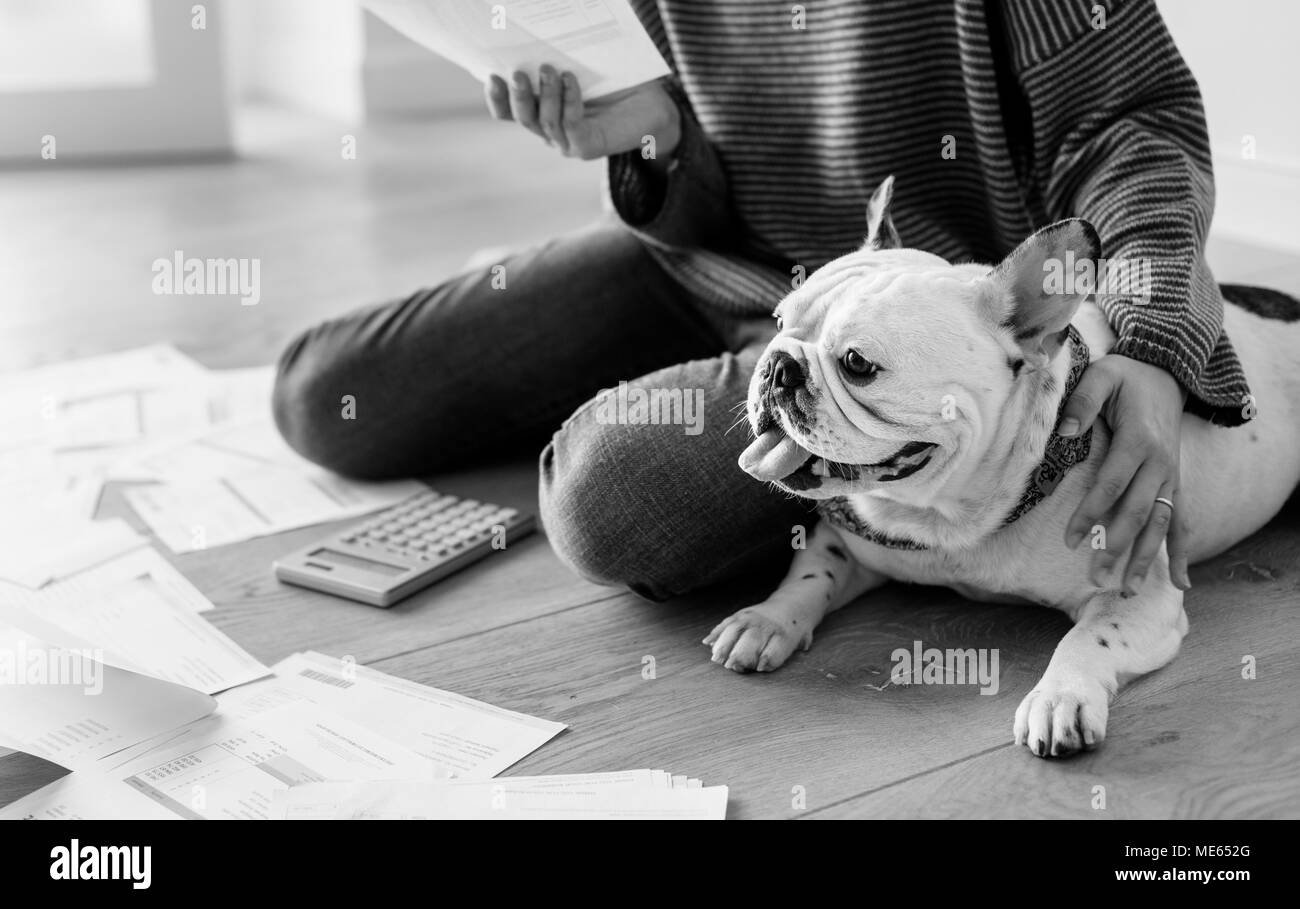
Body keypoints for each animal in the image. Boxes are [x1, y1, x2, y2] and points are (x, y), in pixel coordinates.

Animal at [712, 178, 1300, 759]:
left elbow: (1088, 638)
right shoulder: (845, 537)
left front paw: (1060, 698)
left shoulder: (1139, 594)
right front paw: (766, 619)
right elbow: (810, 575)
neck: (947, 517)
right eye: (779, 323)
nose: (777, 365)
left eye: (858, 364)